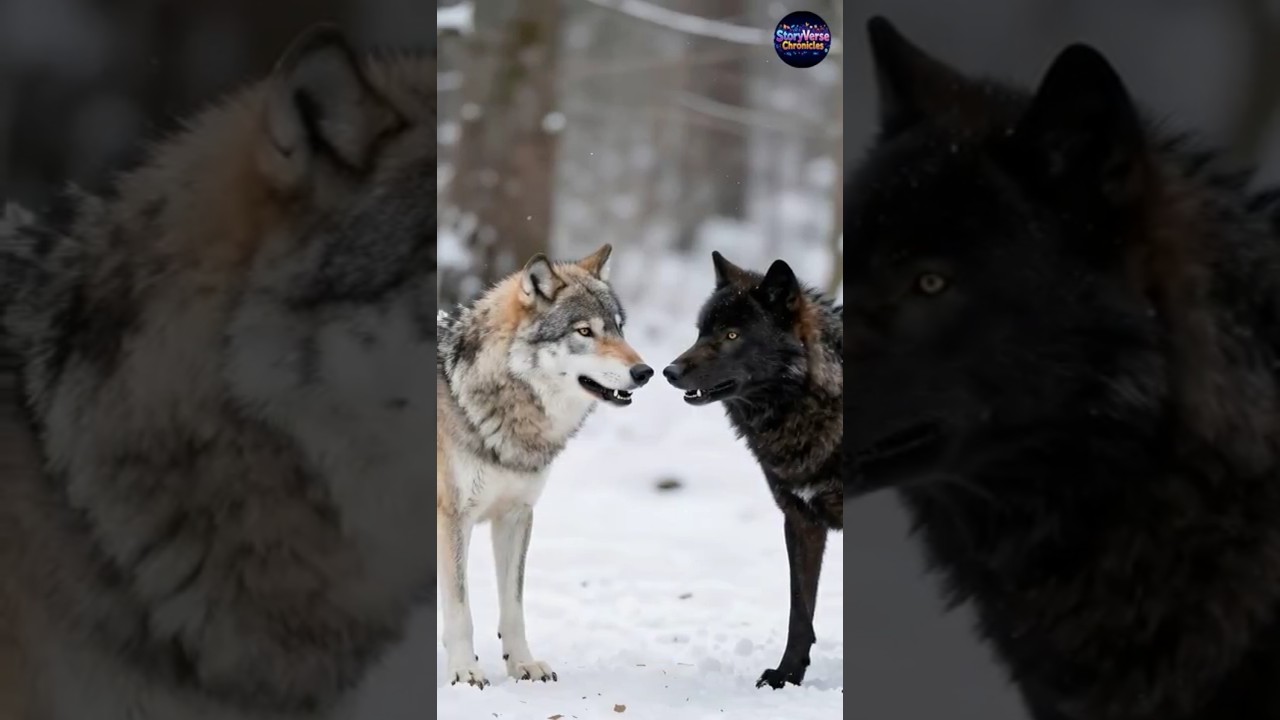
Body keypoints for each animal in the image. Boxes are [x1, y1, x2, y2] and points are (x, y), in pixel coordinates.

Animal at [436, 244, 653, 689]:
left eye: (619, 328)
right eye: (584, 332)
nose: (645, 372)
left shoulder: (516, 516)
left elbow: (513, 607)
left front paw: (523, 664)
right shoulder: (453, 519)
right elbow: (460, 608)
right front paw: (464, 670)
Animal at [663, 252, 842, 690]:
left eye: (731, 335)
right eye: (700, 332)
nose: (669, 371)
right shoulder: (800, 520)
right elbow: (800, 611)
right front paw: (786, 676)